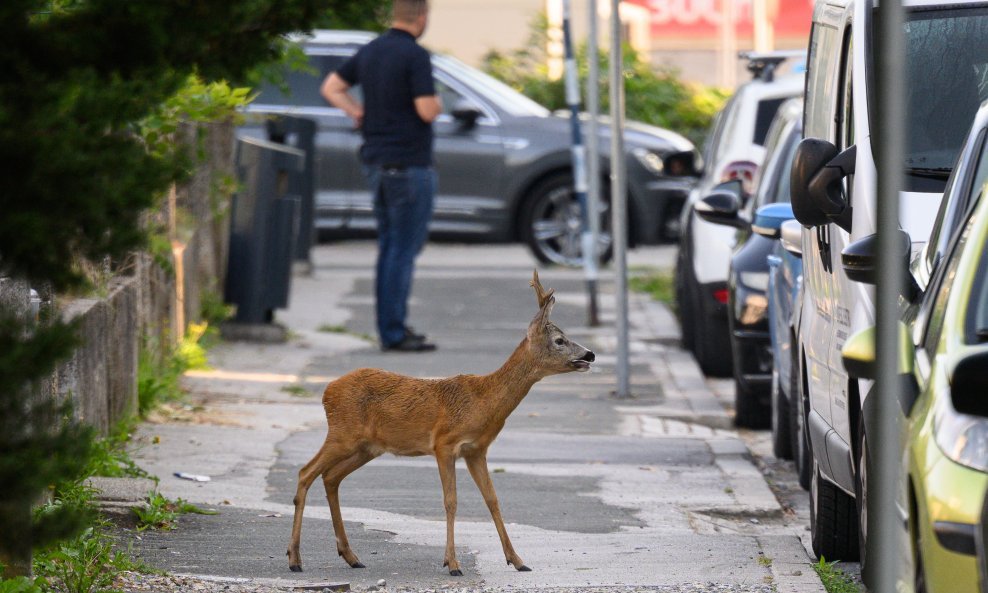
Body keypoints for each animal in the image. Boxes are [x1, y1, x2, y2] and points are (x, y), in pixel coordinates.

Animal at [286, 272, 596, 572]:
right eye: (560, 340)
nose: (590, 354)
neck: (484, 401)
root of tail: (328, 391)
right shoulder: (444, 444)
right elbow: (451, 501)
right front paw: (453, 564)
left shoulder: (476, 450)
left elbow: (493, 500)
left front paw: (517, 560)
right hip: (343, 434)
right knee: (305, 472)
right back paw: (295, 559)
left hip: (367, 447)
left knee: (330, 477)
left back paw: (350, 556)